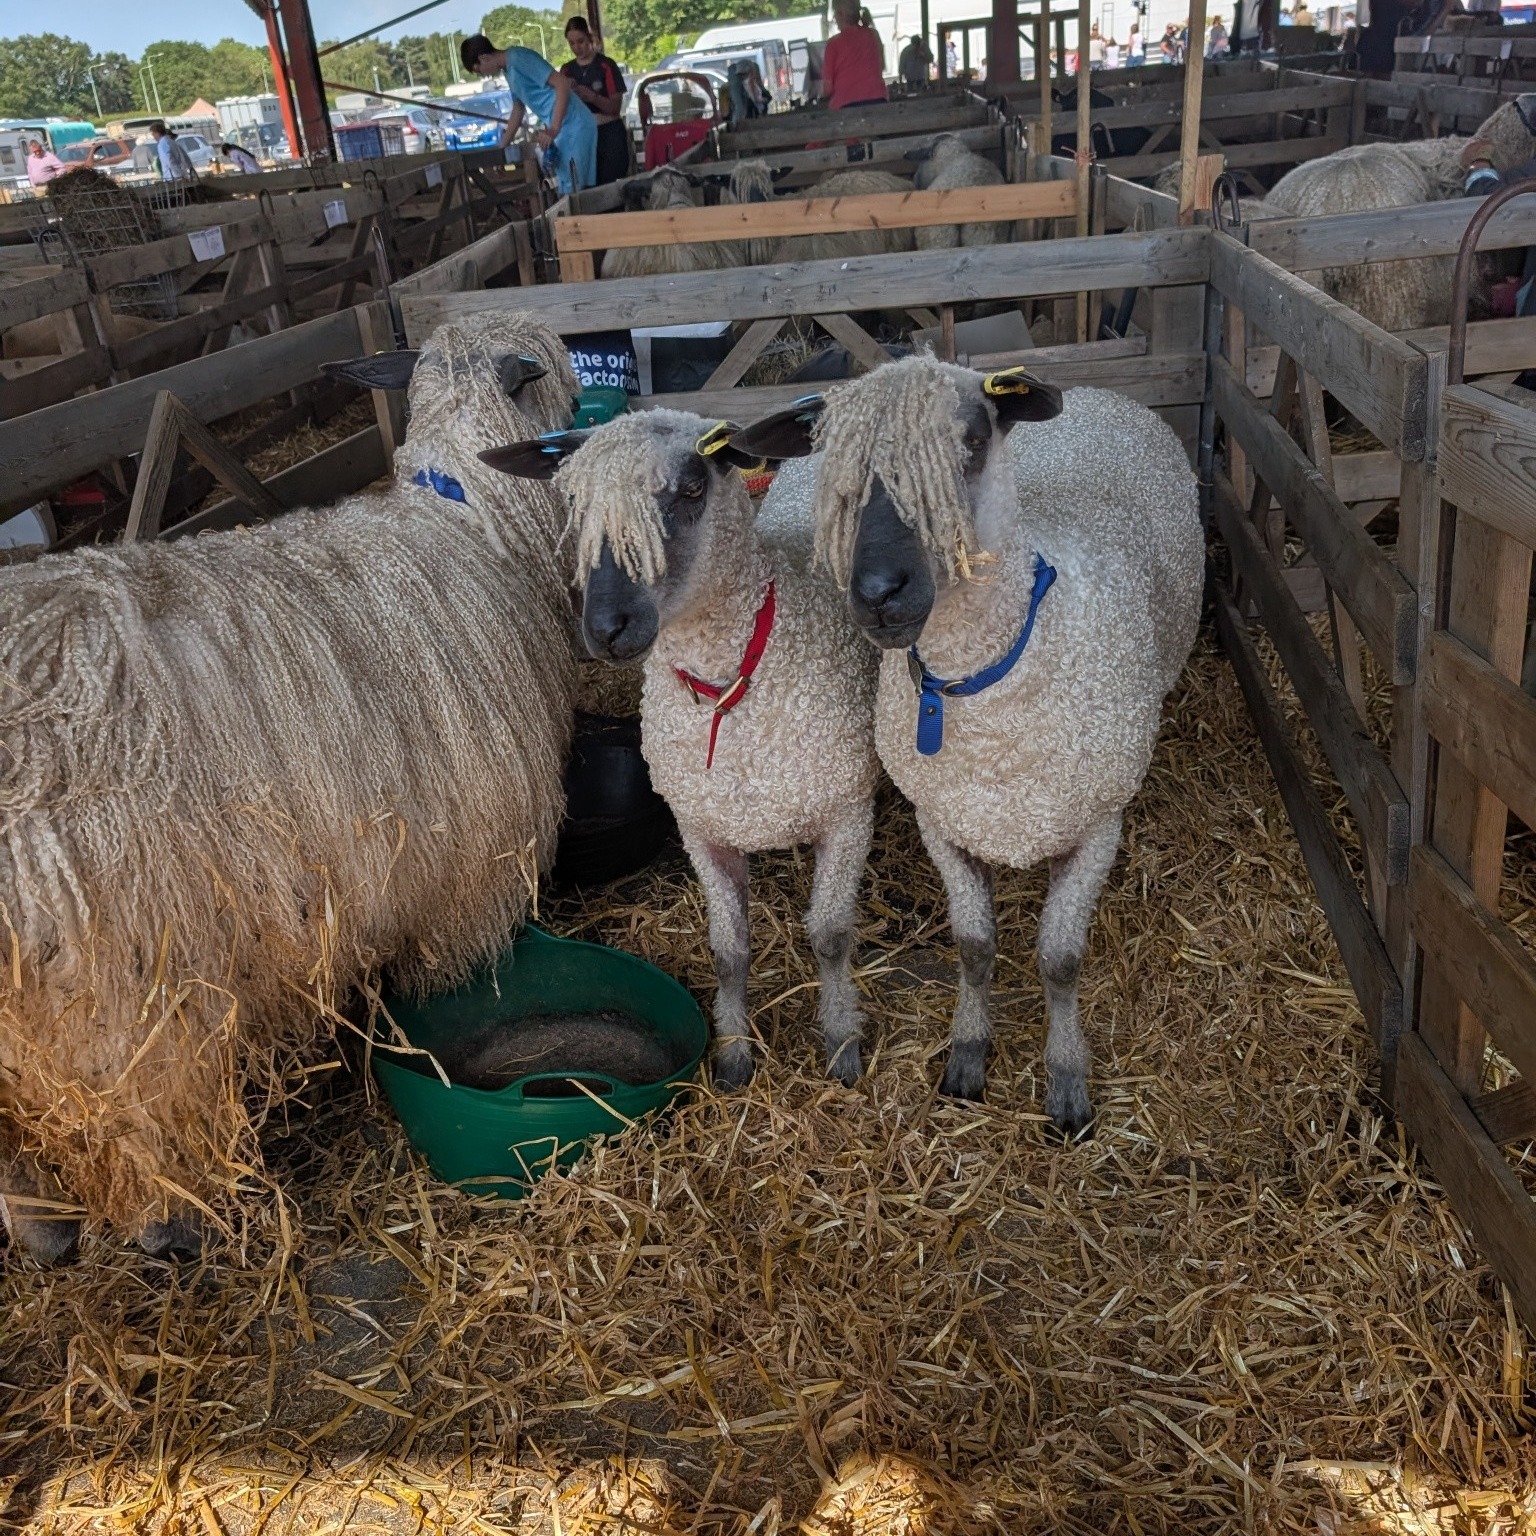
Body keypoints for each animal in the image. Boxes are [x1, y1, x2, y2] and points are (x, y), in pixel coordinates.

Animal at [0, 312, 581, 1263]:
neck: (468, 518)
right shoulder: (468, 857)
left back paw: (43, 1234)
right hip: (113, 978)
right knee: (133, 1113)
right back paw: (165, 1226)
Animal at [480, 410, 880, 1091]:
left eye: (692, 489)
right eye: (573, 501)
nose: (605, 627)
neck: (729, 688)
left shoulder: (848, 815)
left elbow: (830, 938)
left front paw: (841, 1045)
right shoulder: (701, 829)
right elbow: (728, 950)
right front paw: (735, 1056)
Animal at [728, 359, 1202, 1130]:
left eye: (973, 441)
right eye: (834, 461)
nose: (877, 591)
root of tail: (1093, 393)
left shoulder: (1097, 825)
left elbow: (1060, 961)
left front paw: (1067, 1082)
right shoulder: (941, 822)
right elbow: (975, 948)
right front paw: (968, 1055)